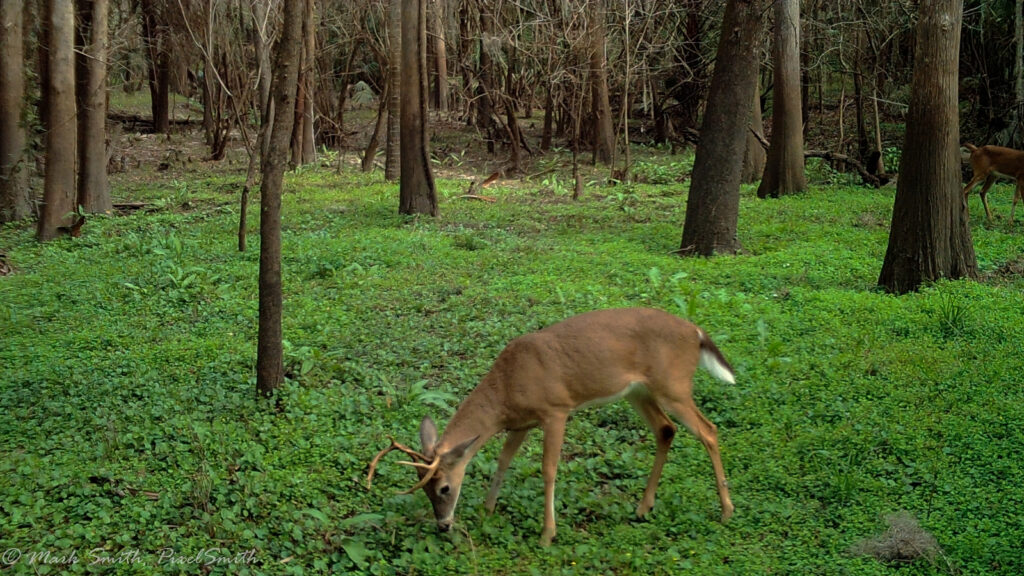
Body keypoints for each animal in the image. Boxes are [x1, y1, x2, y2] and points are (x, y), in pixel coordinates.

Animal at [368, 305, 737, 541]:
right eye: (426, 489)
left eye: (444, 488)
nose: (443, 525)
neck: (507, 387)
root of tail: (696, 331)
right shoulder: (521, 423)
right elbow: (503, 462)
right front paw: (487, 509)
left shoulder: (556, 410)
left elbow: (549, 470)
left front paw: (547, 533)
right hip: (638, 391)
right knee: (666, 429)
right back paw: (643, 508)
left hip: (673, 385)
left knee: (709, 430)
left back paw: (726, 511)